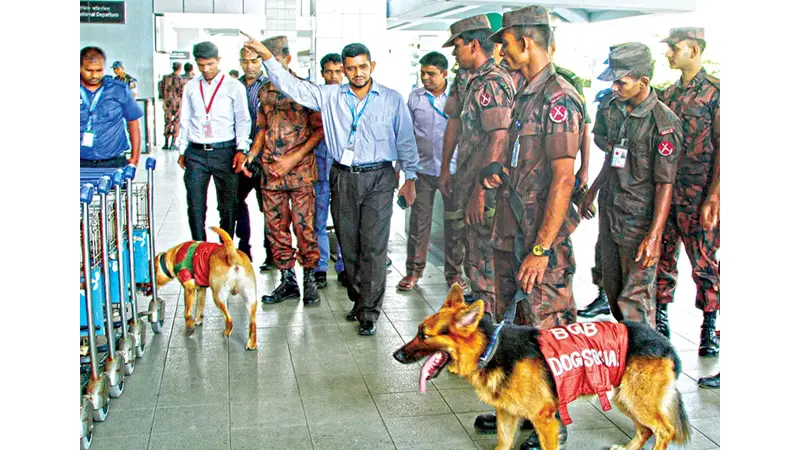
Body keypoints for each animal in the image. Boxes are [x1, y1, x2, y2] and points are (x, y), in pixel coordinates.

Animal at [392, 284, 688, 450]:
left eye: (423, 335)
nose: (395, 355)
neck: (492, 348)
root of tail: (665, 342)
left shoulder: (546, 421)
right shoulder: (506, 415)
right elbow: (502, 444)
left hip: (636, 400)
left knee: (664, 431)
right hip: (626, 398)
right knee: (646, 429)